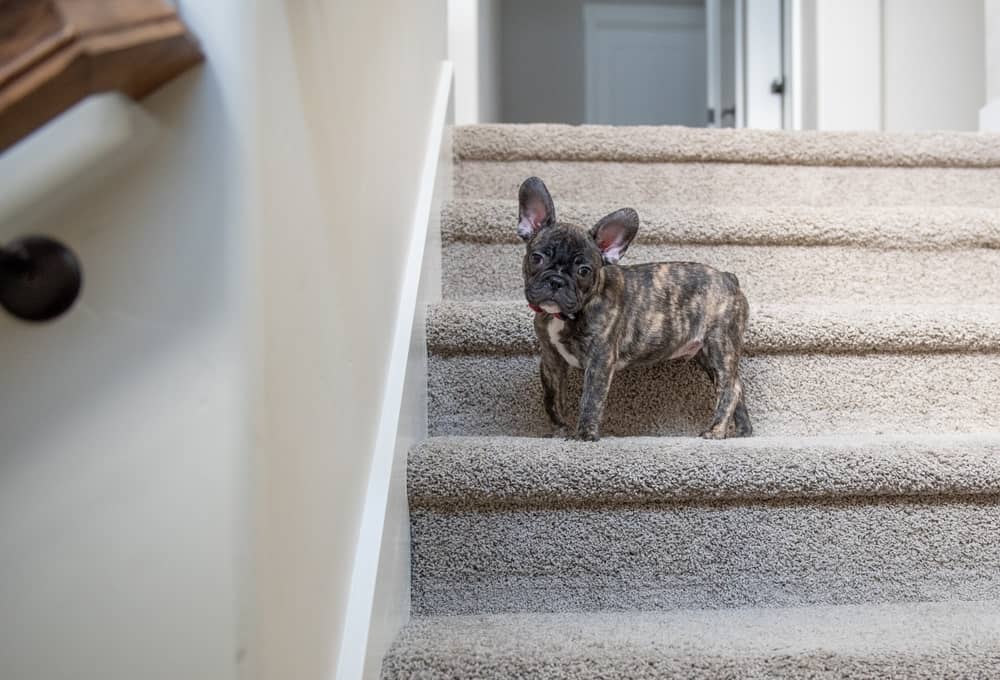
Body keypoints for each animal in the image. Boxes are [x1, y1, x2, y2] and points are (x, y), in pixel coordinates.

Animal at [524, 177, 752, 440]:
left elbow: (590, 399)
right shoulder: (551, 361)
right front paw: (559, 430)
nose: (556, 281)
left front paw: (585, 435)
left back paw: (715, 431)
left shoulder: (599, 359)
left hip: (719, 345)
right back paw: (743, 431)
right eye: (536, 257)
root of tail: (728, 277)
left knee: (729, 389)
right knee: (737, 387)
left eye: (584, 271)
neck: (562, 316)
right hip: (707, 354)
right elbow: (552, 399)